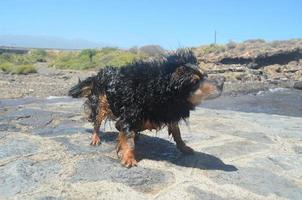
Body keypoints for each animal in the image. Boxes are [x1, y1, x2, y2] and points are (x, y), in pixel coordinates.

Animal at [69, 48, 224, 167]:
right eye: (194, 81)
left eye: (206, 75)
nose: (222, 81)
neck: (155, 90)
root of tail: (99, 73)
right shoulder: (129, 115)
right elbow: (128, 137)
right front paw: (129, 157)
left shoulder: (168, 112)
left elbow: (177, 133)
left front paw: (183, 147)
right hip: (101, 103)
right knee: (96, 122)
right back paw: (96, 138)